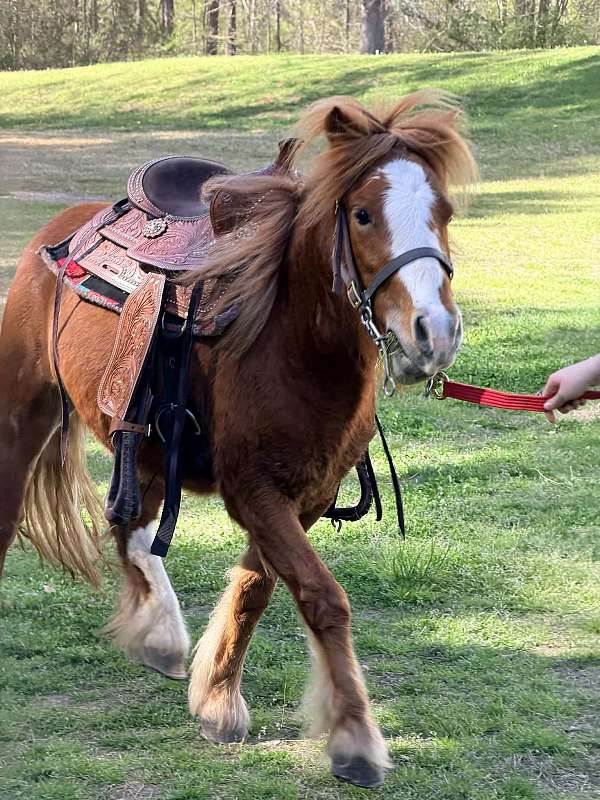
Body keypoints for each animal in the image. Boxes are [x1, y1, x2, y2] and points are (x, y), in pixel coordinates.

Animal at [0, 91, 476, 789]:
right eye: (362, 214)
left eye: (443, 211)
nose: (434, 332)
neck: (295, 341)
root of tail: (62, 228)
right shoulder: (253, 490)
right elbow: (323, 597)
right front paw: (355, 737)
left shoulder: (304, 496)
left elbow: (260, 588)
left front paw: (217, 698)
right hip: (26, 412)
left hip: (145, 449)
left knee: (129, 529)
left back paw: (160, 635)